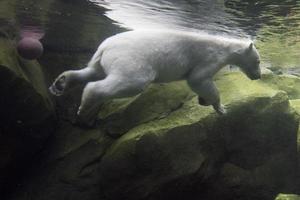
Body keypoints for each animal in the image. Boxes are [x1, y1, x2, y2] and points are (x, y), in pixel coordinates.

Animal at [48, 28, 260, 126]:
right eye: (258, 61)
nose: (258, 76)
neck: (225, 46)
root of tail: (105, 46)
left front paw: (204, 101)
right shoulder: (209, 57)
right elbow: (198, 79)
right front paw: (221, 108)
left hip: (101, 58)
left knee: (92, 70)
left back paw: (61, 83)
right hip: (133, 60)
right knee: (129, 82)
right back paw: (85, 106)